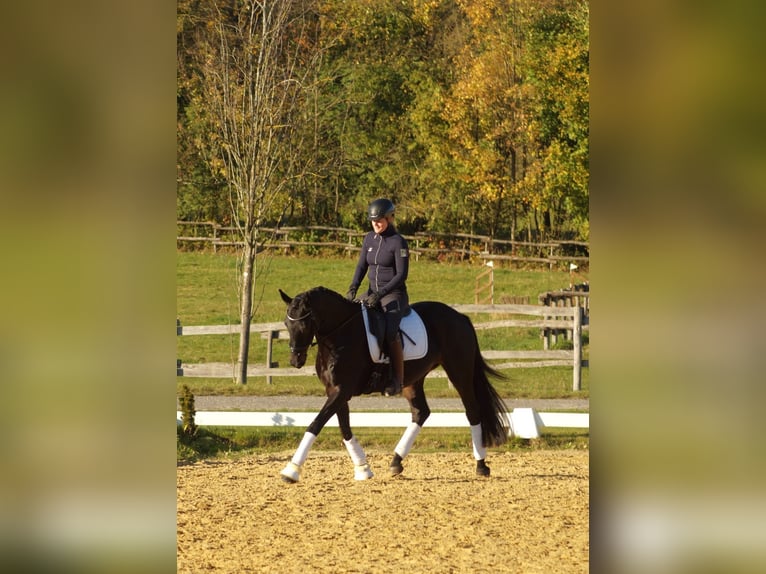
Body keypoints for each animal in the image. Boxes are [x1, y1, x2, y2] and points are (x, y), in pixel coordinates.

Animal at [278, 286, 510, 484]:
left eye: (304, 324)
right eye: (286, 324)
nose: (295, 361)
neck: (340, 334)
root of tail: (460, 317)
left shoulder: (342, 391)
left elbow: (315, 424)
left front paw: (291, 470)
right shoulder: (335, 391)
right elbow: (344, 428)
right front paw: (363, 468)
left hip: (459, 372)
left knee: (472, 411)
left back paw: (481, 465)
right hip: (413, 379)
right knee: (421, 412)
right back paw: (396, 462)